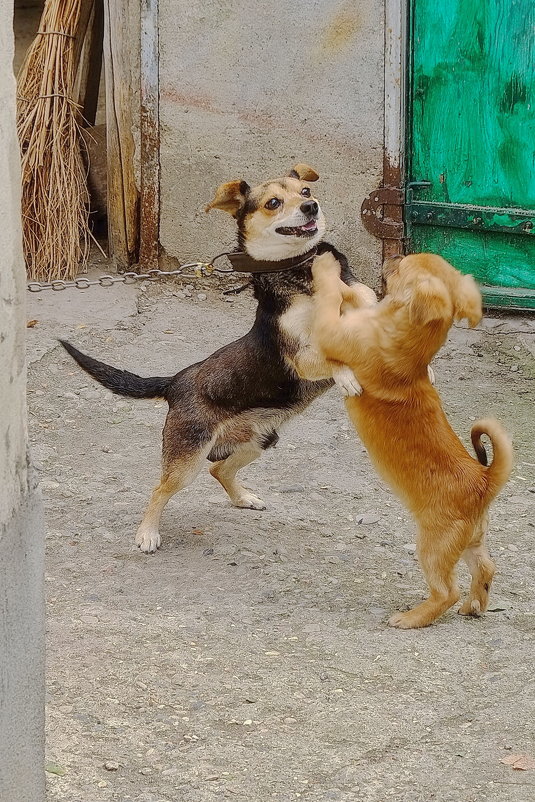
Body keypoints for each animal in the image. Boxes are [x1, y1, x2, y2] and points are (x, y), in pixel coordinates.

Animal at [60, 162, 374, 552]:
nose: (311, 206)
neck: (298, 270)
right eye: (273, 202)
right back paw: (147, 533)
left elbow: (360, 297)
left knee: (218, 468)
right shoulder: (298, 356)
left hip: (259, 440)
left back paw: (243, 498)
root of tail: (175, 381)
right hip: (188, 456)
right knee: (160, 488)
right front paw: (346, 375)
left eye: (305, 192)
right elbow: (332, 357)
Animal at [310, 253, 516, 628]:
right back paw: (474, 606)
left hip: (432, 547)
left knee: (446, 592)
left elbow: (330, 294)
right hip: (471, 543)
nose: (392, 255)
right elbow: (359, 297)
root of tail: (484, 480)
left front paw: (326, 266)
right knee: (486, 568)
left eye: (402, 265)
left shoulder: (330, 329)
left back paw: (412, 618)